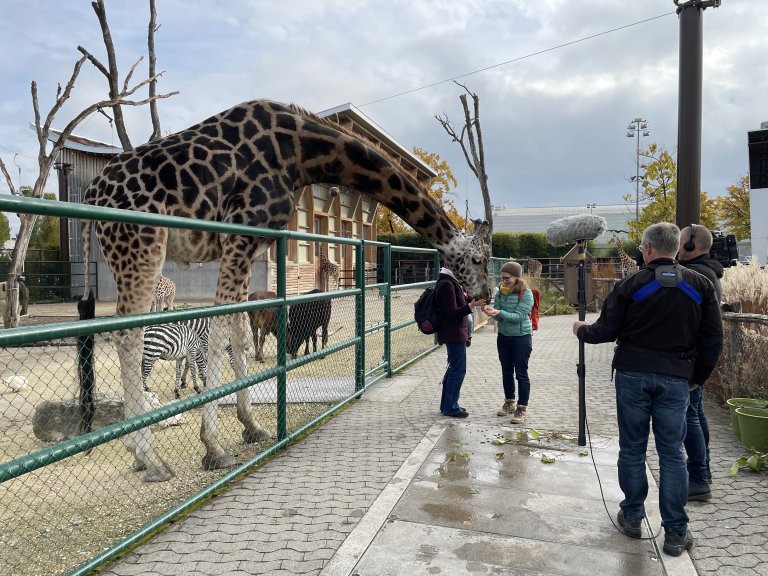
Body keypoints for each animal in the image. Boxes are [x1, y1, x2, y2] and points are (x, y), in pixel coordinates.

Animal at [81, 100, 488, 482]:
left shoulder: (250, 242)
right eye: (480, 259)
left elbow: (240, 335)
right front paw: (213, 447)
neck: (302, 154)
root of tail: (92, 195)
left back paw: (138, 451)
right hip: (141, 242)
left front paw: (251, 426)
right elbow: (218, 336)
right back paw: (149, 457)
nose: (484, 294)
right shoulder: (240, 233)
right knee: (127, 335)